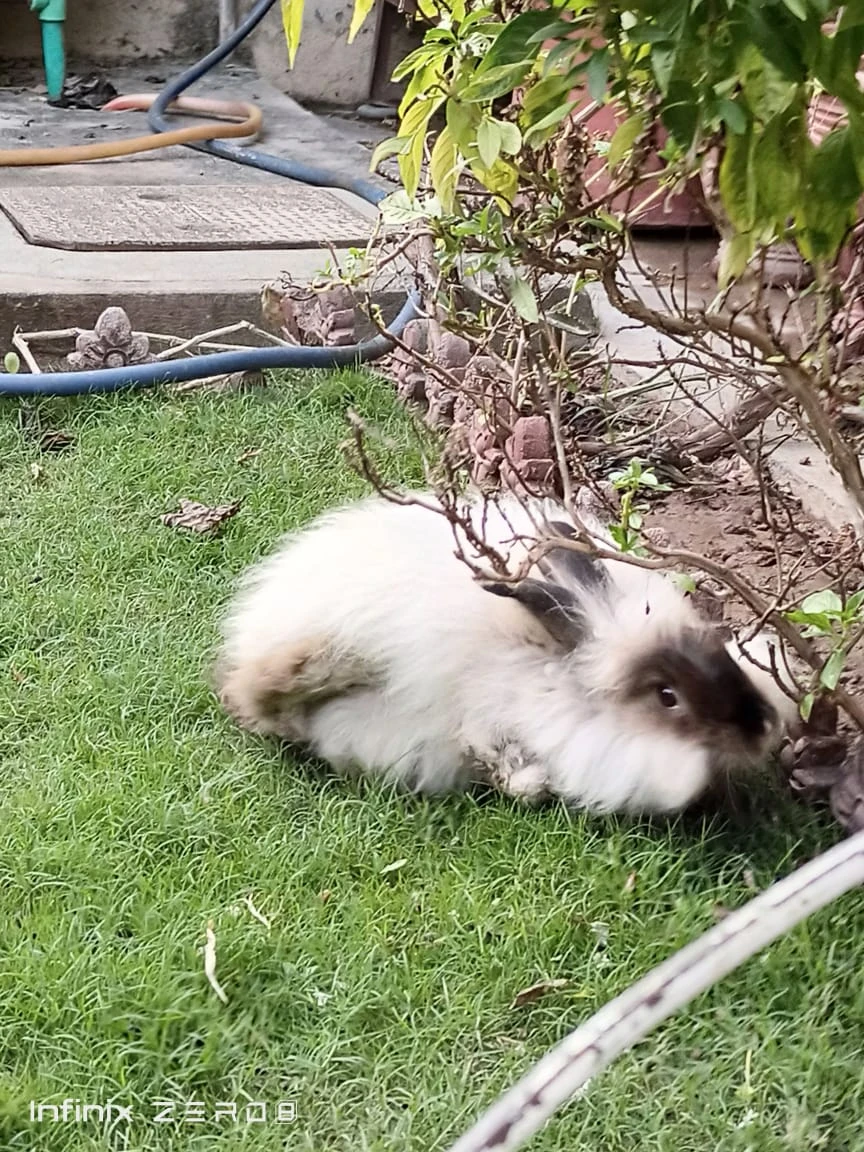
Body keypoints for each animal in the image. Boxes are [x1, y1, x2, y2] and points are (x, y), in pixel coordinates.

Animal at [215, 490, 797, 815]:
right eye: (667, 697)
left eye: (719, 654)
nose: (760, 730)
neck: (551, 674)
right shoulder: (482, 719)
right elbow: (501, 761)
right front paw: (531, 784)